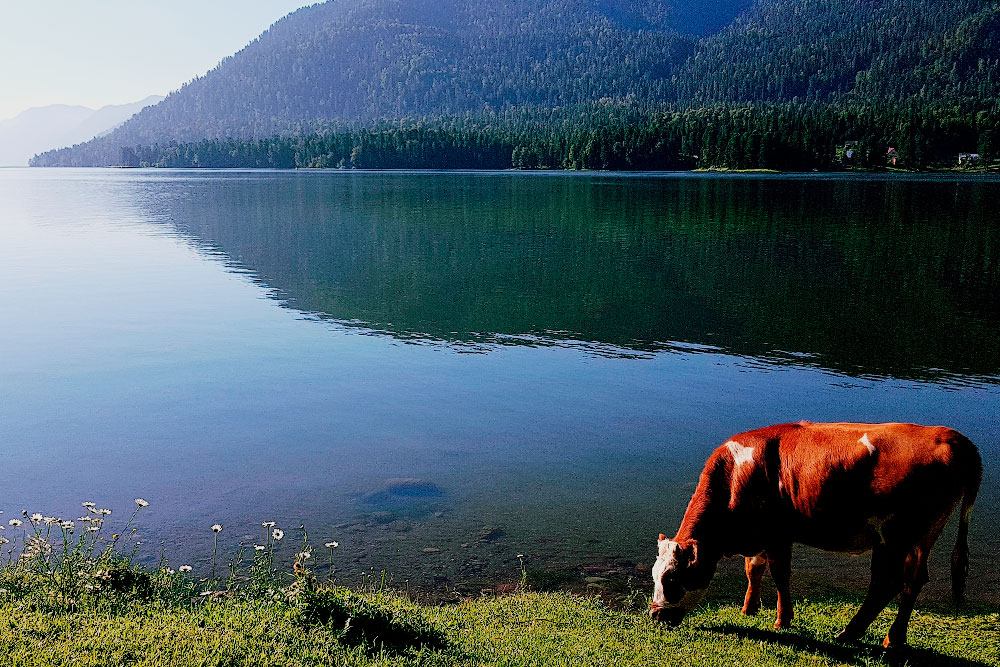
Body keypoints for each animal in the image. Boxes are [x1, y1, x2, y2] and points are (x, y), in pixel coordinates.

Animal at [648, 422, 984, 648]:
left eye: (672, 579)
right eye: (654, 575)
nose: (655, 616)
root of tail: (951, 436)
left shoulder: (778, 534)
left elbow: (780, 575)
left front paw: (782, 620)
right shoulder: (758, 534)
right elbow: (753, 568)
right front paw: (749, 608)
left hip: (895, 536)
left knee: (887, 583)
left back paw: (850, 633)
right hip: (923, 536)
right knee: (913, 581)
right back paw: (893, 639)